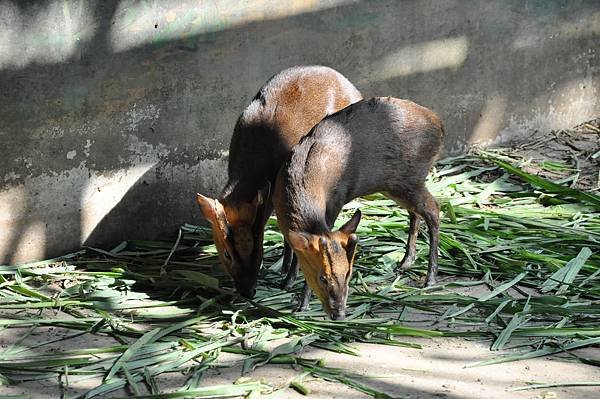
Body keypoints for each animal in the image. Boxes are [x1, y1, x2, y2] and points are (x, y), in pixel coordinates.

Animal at [196, 65, 360, 298]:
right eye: (227, 254)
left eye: (259, 250)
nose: (248, 291)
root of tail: (355, 90)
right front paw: (284, 267)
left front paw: (288, 279)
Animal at [274, 98, 442, 320]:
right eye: (322, 278)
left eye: (348, 273)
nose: (339, 314)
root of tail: (441, 126)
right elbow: (294, 249)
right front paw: (287, 281)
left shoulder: (335, 203)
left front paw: (303, 304)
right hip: (396, 185)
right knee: (416, 212)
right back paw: (406, 261)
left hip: (410, 179)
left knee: (433, 209)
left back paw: (430, 278)